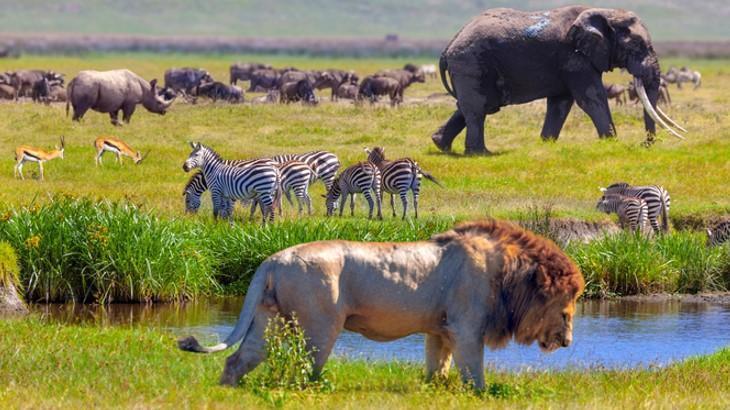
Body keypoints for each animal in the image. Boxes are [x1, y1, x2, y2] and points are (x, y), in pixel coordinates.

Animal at [179, 219, 584, 390]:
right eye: (566, 308)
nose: (568, 342)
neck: (509, 273)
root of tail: (272, 259)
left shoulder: (441, 329)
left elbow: (438, 365)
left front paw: (434, 389)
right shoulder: (467, 327)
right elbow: (474, 371)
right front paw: (480, 395)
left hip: (269, 319)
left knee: (238, 359)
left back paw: (227, 390)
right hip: (319, 325)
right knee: (305, 369)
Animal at [430, 7, 684, 155]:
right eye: (637, 46)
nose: (645, 145)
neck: (604, 12)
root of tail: (447, 48)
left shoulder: (569, 63)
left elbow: (561, 103)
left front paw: (546, 144)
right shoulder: (573, 57)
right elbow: (591, 97)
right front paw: (611, 143)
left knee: (474, 106)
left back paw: (441, 145)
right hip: (470, 62)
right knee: (477, 109)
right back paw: (481, 154)